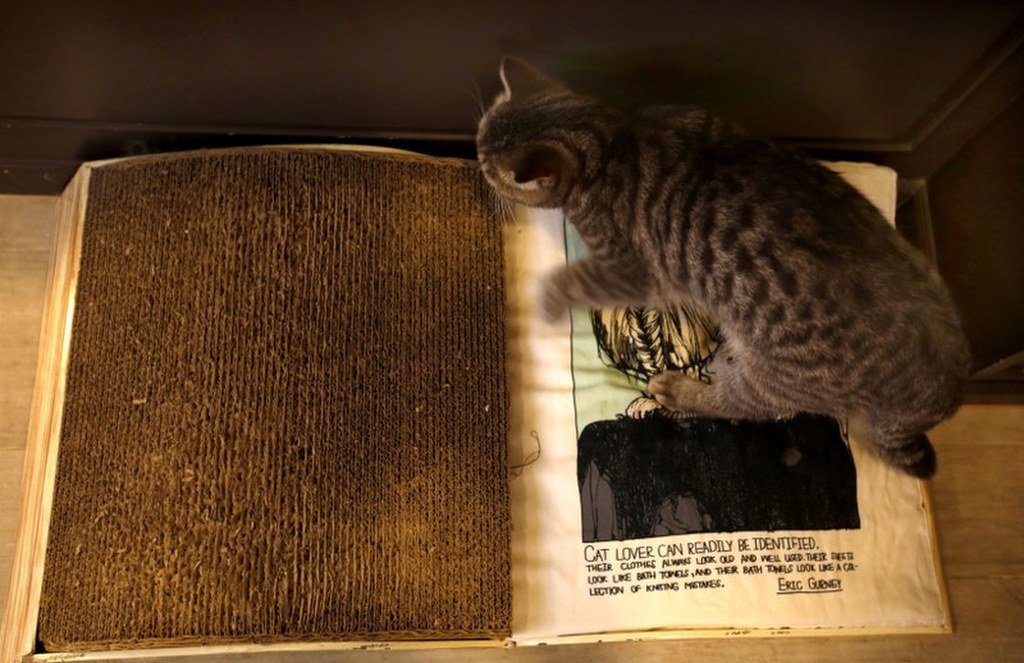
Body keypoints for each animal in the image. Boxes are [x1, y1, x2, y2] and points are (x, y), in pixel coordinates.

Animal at [476, 57, 971, 479]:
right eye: (477, 145)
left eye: (488, 168)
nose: (477, 172)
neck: (614, 135)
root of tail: (942, 395)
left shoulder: (634, 271)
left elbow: (570, 278)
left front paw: (545, 298)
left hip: (775, 374)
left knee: (744, 405)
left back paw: (681, 390)